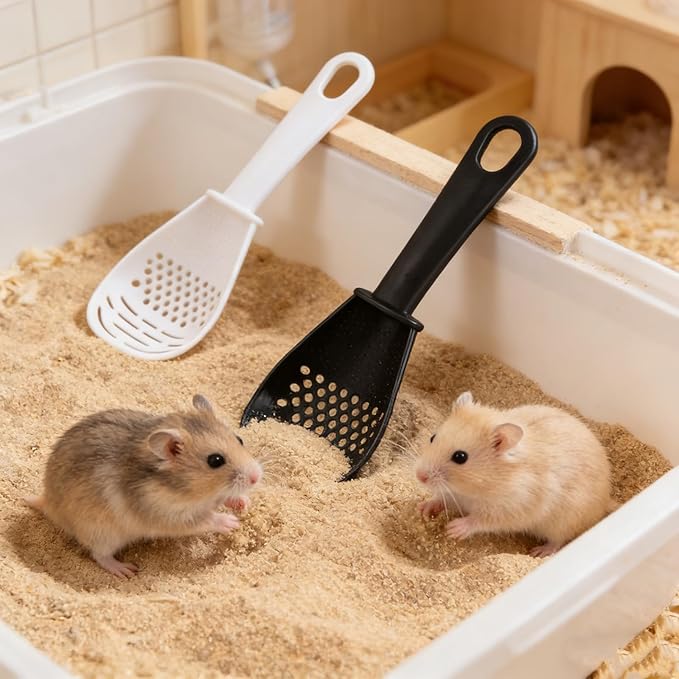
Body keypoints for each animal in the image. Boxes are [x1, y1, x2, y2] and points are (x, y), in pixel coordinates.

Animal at [25, 394, 262, 578]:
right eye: (215, 460)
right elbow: (204, 519)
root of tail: (48, 502)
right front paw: (231, 523)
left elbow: (226, 498)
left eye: (239, 439)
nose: (256, 477)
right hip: (101, 534)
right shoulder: (169, 516)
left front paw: (243, 504)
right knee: (99, 555)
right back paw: (125, 570)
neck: (189, 490)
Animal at [415, 391, 618, 557]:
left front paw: (453, 529)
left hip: (564, 522)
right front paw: (424, 509)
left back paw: (540, 552)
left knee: (558, 541)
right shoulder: (454, 494)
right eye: (432, 437)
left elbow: (480, 520)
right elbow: (441, 499)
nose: (419, 476)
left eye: (460, 457)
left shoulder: (511, 508)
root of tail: (605, 500)